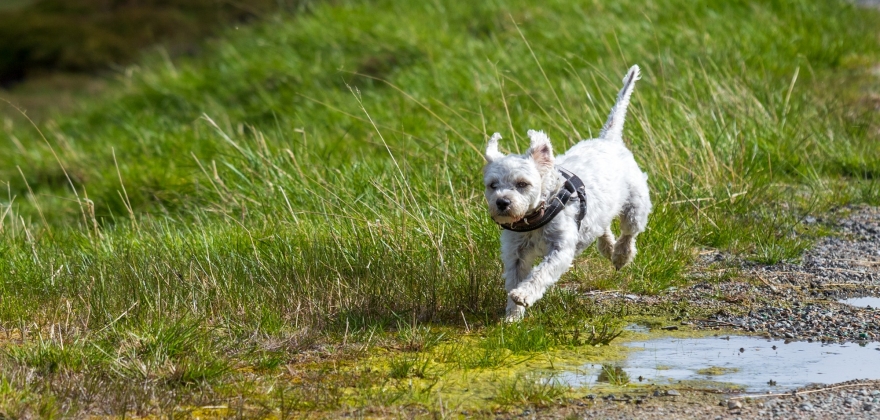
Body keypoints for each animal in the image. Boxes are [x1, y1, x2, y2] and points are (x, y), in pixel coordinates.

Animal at [484, 65, 648, 322]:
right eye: (492, 185)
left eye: (522, 184)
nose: (502, 202)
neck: (536, 216)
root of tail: (609, 139)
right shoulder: (515, 252)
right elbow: (514, 278)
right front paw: (512, 315)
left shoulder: (560, 249)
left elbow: (541, 273)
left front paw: (523, 295)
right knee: (603, 227)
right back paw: (608, 246)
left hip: (636, 206)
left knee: (629, 233)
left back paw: (620, 254)